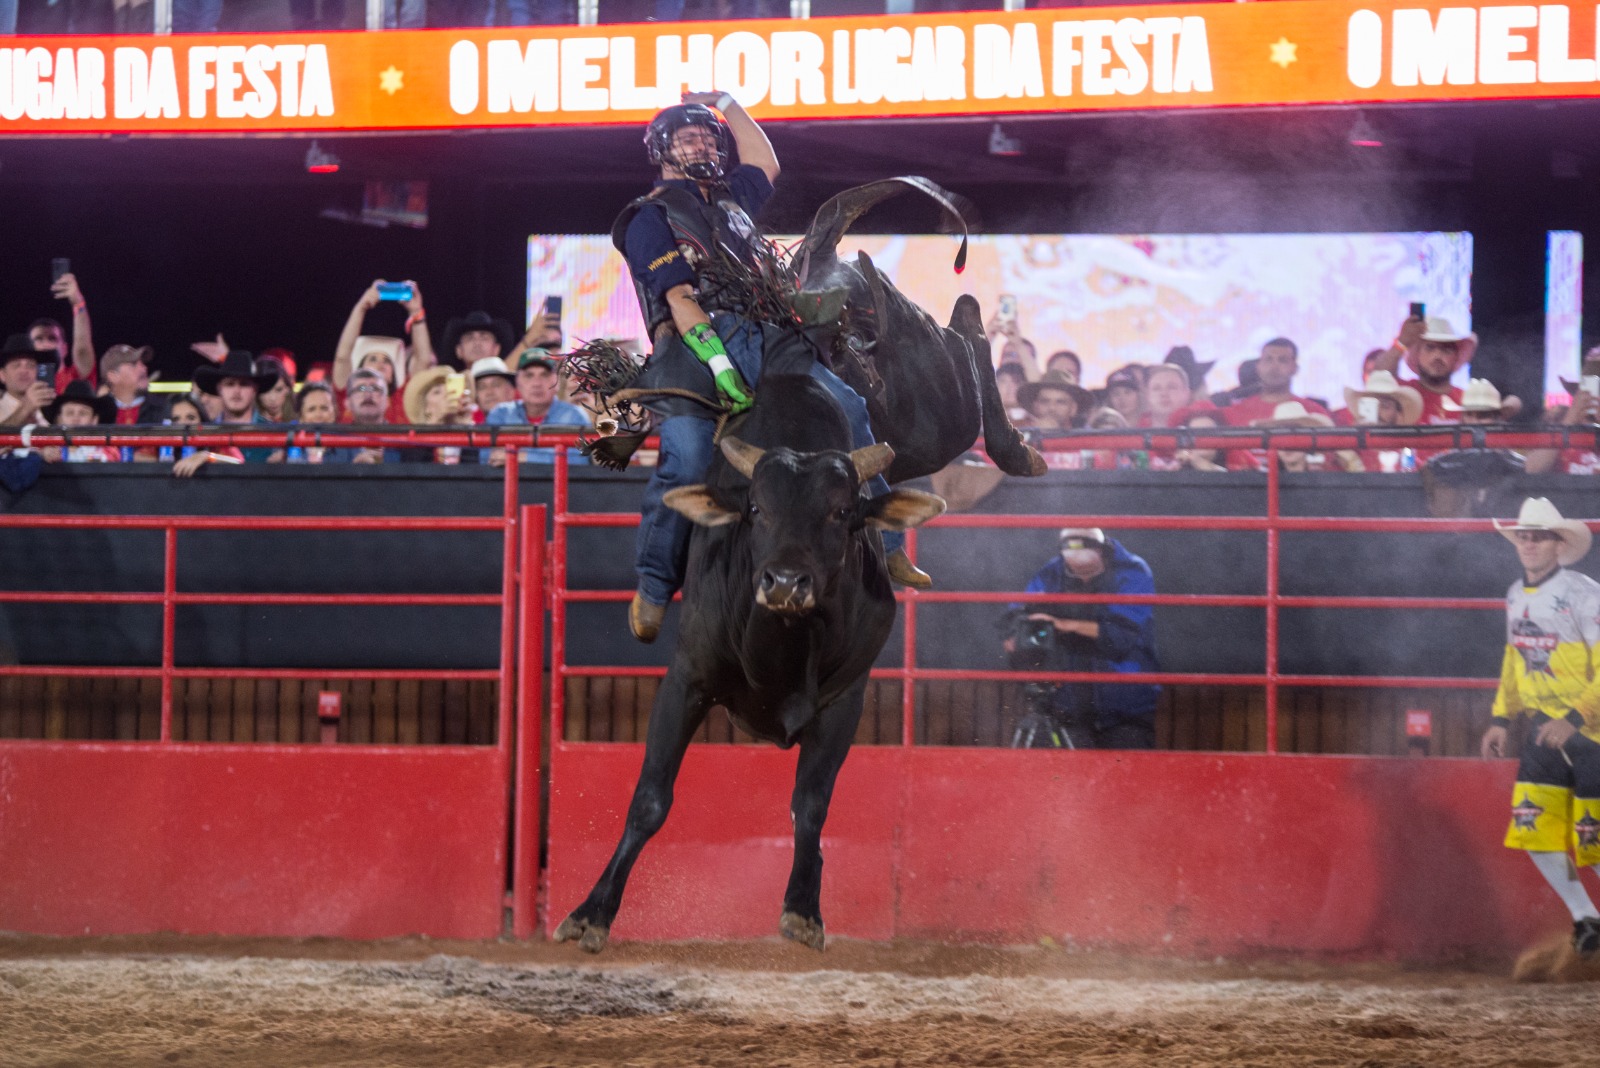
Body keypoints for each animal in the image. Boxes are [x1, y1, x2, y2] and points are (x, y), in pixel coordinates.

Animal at [553, 374, 940, 952]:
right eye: (756, 508)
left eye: (842, 512)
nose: (784, 583)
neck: (786, 643)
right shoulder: (686, 681)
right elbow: (650, 800)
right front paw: (590, 914)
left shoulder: (845, 702)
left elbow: (811, 805)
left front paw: (803, 909)